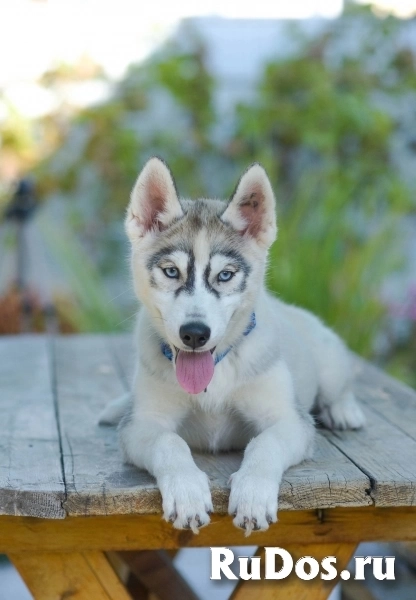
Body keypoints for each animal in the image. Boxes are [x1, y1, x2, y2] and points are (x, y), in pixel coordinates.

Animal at [101, 158, 364, 536]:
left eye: (225, 275)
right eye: (171, 272)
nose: (194, 334)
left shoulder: (289, 420)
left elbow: (264, 443)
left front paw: (253, 494)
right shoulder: (142, 423)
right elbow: (170, 442)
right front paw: (186, 492)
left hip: (328, 357)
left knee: (337, 386)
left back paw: (343, 410)